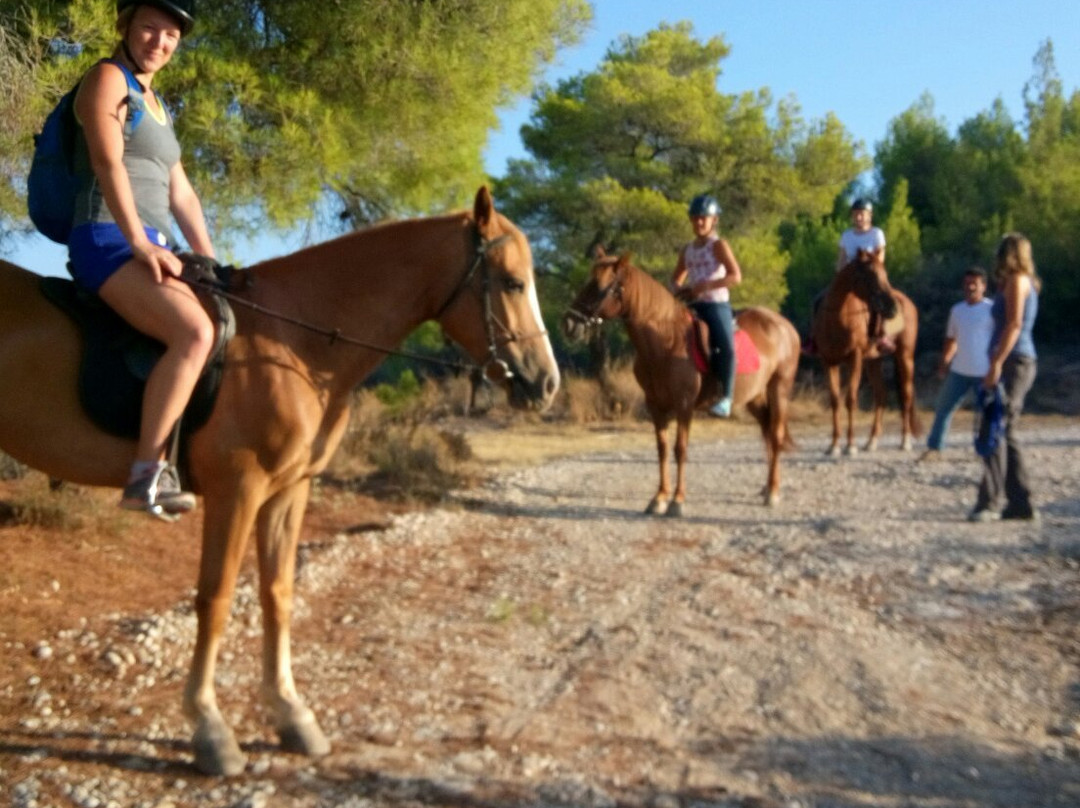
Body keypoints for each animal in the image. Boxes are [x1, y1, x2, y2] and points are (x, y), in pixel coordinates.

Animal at [0, 187, 560, 776]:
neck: (294, 339)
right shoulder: (238, 490)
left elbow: (278, 593)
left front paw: (291, 714)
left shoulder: (289, 491)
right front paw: (210, 728)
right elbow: (217, 598)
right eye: (513, 282)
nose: (546, 383)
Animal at [564, 249, 800, 513]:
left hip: (779, 388)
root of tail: (785, 326)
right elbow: (663, 449)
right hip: (755, 397)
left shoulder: (684, 404)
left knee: (776, 434)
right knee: (767, 431)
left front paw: (677, 500)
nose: (568, 323)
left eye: (599, 286)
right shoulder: (655, 405)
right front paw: (659, 498)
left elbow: (680, 449)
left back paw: (774, 492)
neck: (666, 341)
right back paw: (767, 487)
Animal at [810, 247, 920, 456]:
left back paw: (905, 441)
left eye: (884, 273)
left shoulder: (855, 358)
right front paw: (834, 445)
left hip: (905, 356)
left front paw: (850, 445)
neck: (838, 318)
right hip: (873, 361)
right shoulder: (829, 361)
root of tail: (907, 302)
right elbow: (835, 400)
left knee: (906, 395)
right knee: (881, 395)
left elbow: (851, 399)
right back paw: (872, 441)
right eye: (870, 275)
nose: (892, 308)